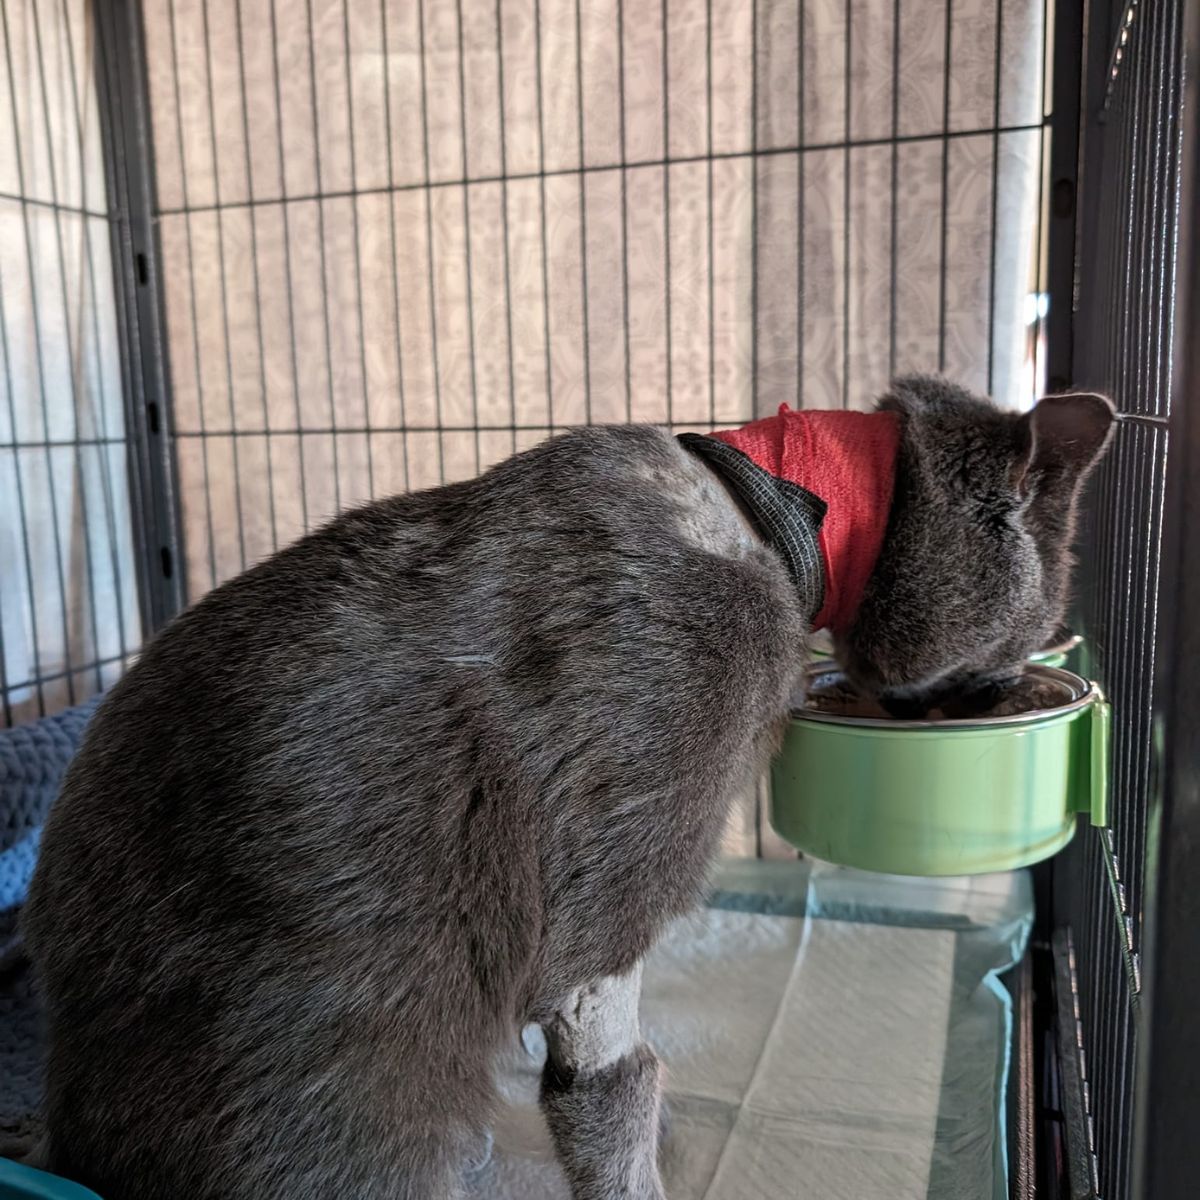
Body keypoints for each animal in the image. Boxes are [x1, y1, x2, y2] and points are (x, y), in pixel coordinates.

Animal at [21, 369, 1113, 1195]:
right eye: (1014, 645)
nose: (995, 692)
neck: (778, 508)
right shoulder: (621, 848)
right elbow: (608, 1074)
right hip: (343, 1069)